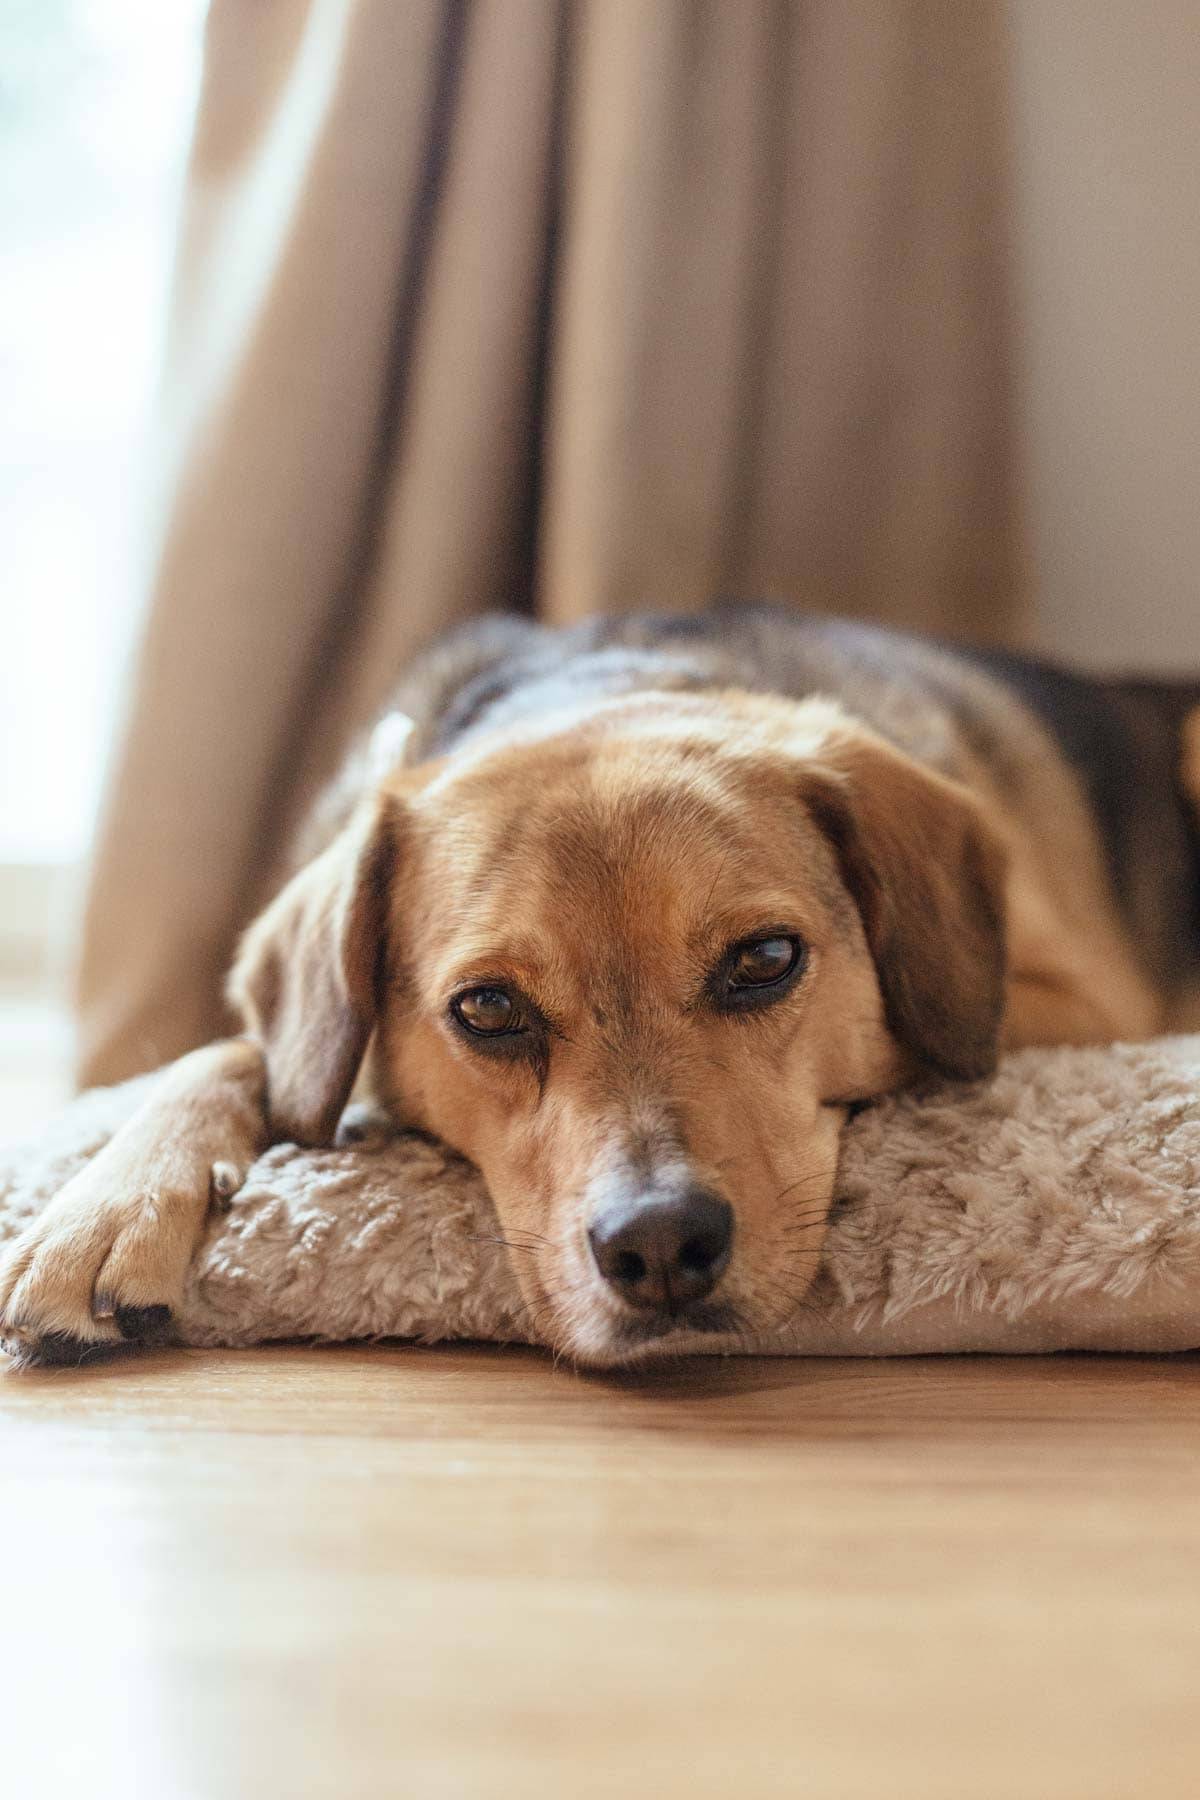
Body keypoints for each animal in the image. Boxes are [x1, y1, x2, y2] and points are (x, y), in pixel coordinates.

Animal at [2, 604, 1200, 1360]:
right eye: (489, 1009)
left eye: (766, 961)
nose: (661, 1247)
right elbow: (237, 1050)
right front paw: (108, 1203)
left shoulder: (1070, 1001)